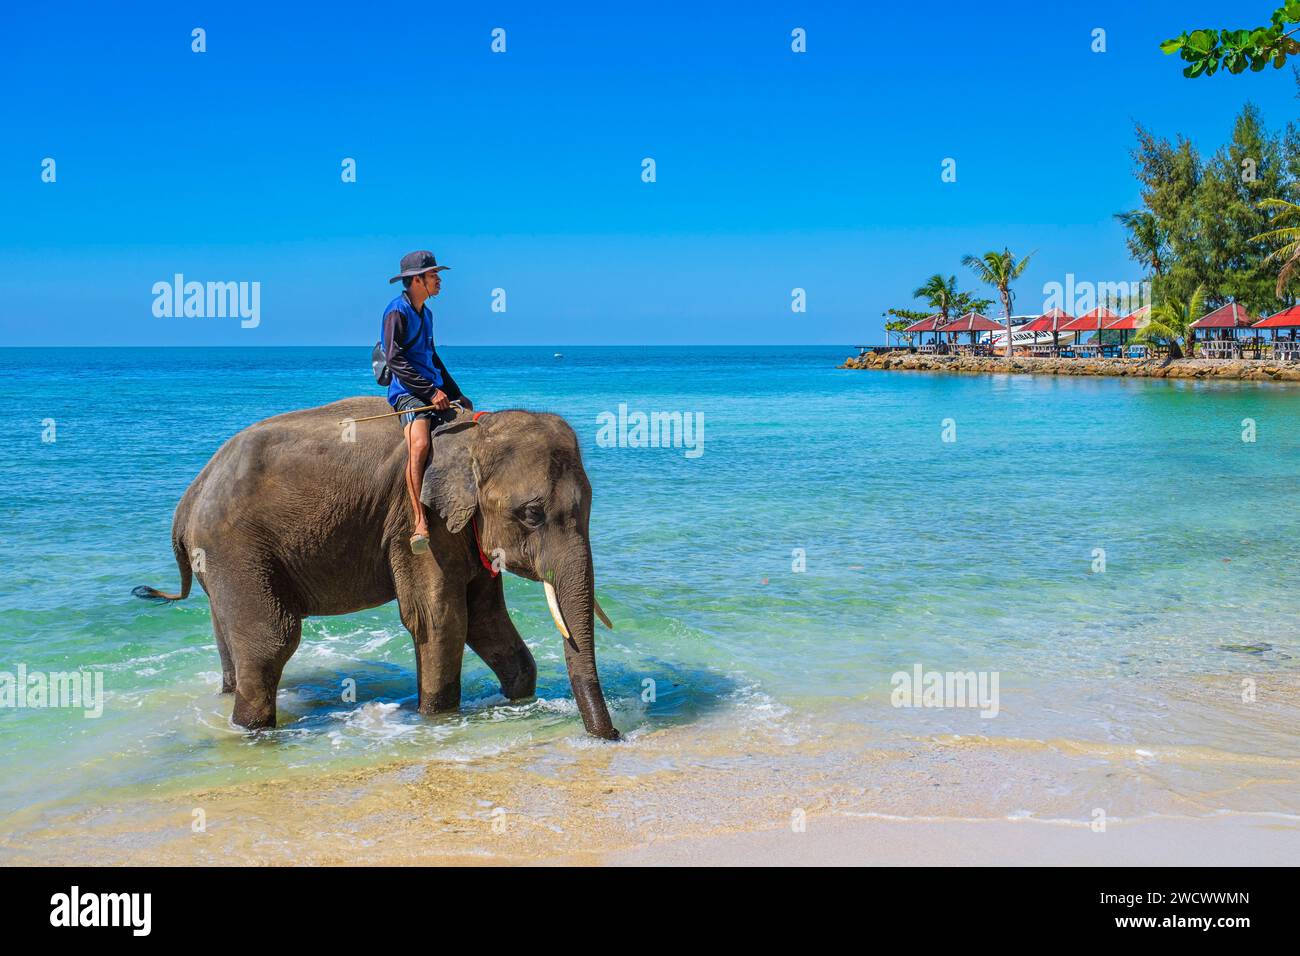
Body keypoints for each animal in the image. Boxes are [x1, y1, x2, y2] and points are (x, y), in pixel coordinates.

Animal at [134, 395, 621, 738]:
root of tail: (189, 498)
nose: (612, 735)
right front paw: (436, 720)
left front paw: (516, 698)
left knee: (230, 640)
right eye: (532, 514)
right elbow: (439, 618)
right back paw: (253, 731)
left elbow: (485, 617)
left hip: (220, 559)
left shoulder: (461, 531)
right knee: (271, 640)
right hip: (235, 549)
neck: (474, 430)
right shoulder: (416, 523)